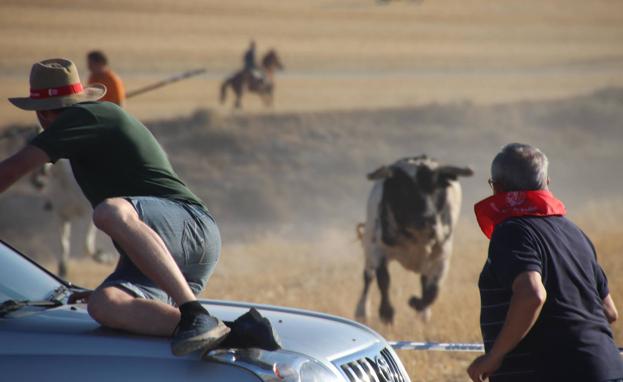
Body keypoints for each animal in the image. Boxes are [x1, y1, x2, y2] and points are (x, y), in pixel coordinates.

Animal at [356, 157, 472, 324]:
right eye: (404, 188)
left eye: (436, 188)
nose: (428, 218)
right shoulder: (379, 250)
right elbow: (384, 280)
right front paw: (387, 313)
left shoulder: (442, 257)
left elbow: (433, 290)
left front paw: (417, 304)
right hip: (369, 246)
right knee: (368, 276)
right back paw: (362, 311)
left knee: (425, 281)